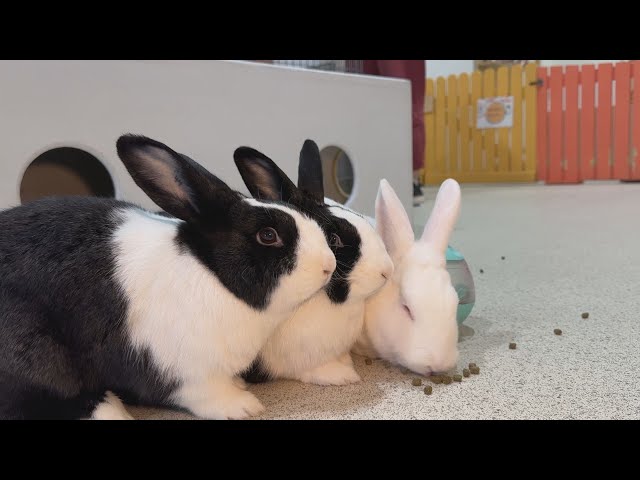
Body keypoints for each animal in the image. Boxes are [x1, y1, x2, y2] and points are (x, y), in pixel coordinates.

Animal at [0, 135, 338, 420]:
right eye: (268, 236)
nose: (329, 264)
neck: (212, 276)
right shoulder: (184, 373)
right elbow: (205, 394)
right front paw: (244, 406)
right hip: (37, 354)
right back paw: (111, 410)